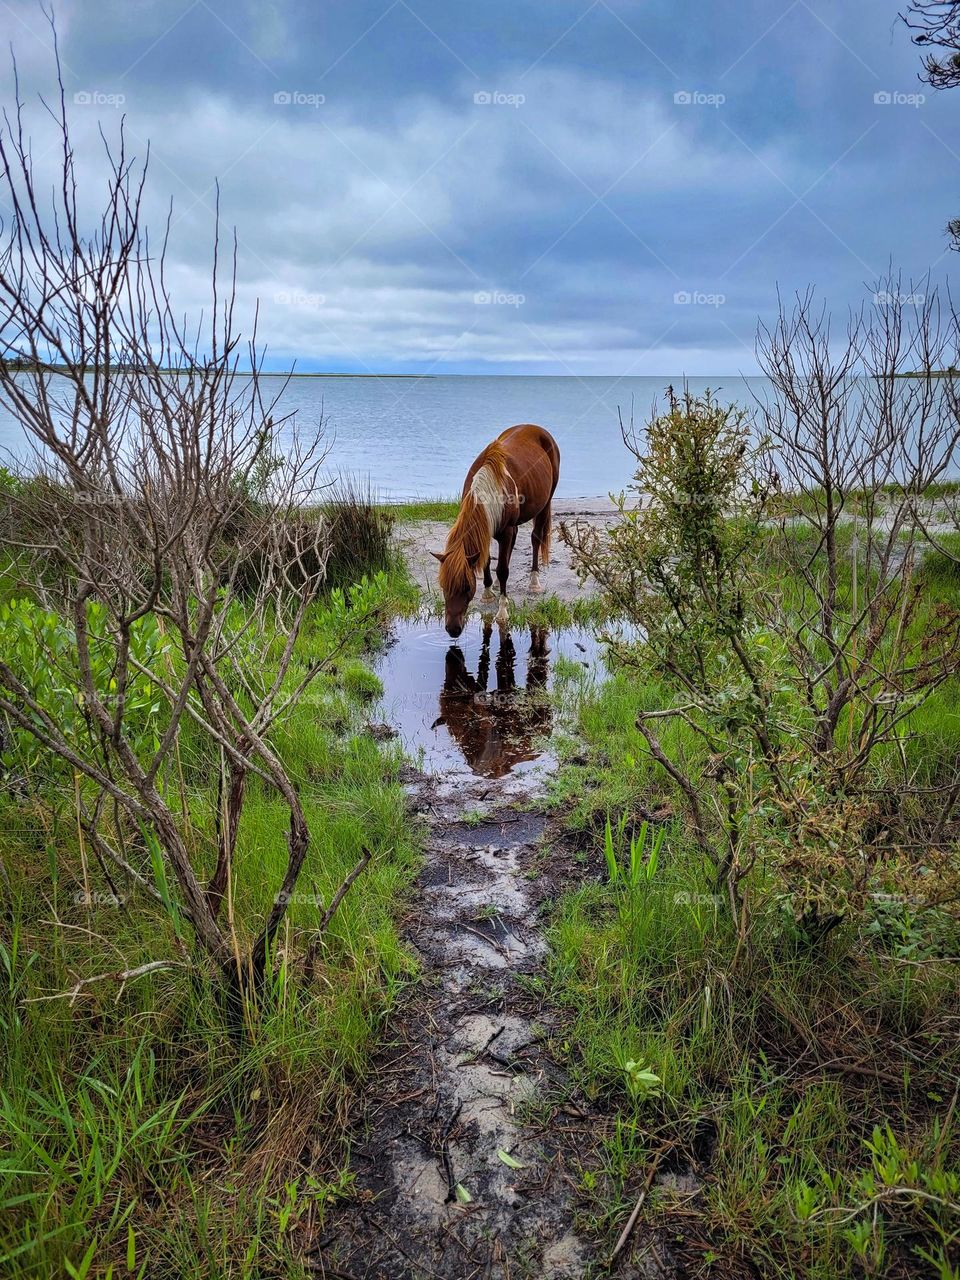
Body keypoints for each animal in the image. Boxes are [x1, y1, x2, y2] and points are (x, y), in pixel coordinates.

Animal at [432, 422, 560, 637]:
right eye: (443, 586)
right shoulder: (487, 531)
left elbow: (502, 570)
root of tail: (537, 428)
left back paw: (534, 582)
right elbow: (486, 560)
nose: (453, 630)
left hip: (545, 503)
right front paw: (487, 592)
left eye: (467, 587)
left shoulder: (505, 530)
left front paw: (502, 610)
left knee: (535, 538)